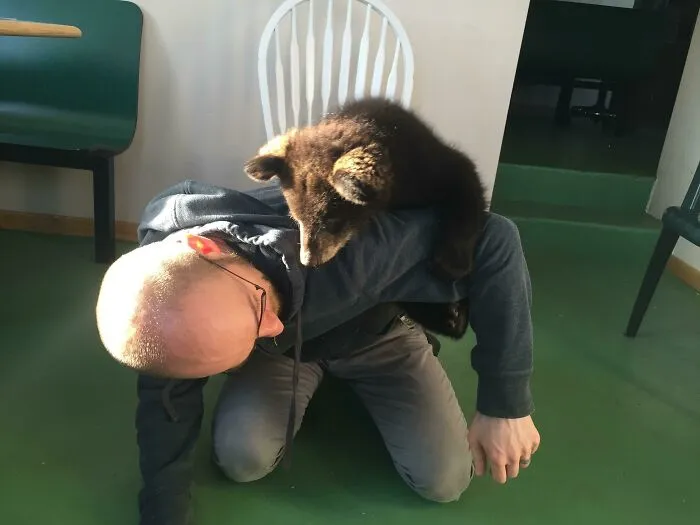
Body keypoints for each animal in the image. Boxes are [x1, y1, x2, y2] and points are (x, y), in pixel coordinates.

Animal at [243, 97, 488, 339]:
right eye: (298, 220)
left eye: (332, 221)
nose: (308, 261)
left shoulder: (433, 165)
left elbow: (466, 191)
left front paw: (452, 262)